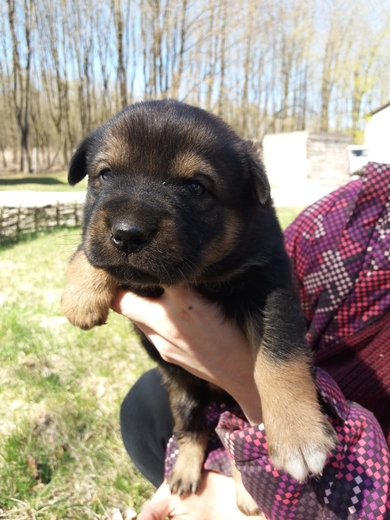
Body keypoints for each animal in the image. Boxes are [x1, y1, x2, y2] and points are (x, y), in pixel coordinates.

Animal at [61, 99, 336, 512]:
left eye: (196, 187)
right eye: (104, 175)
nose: (127, 234)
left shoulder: (268, 282)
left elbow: (279, 357)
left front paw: (299, 434)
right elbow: (92, 242)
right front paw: (81, 291)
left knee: (234, 428)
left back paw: (247, 492)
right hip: (182, 390)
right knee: (195, 428)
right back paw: (185, 471)